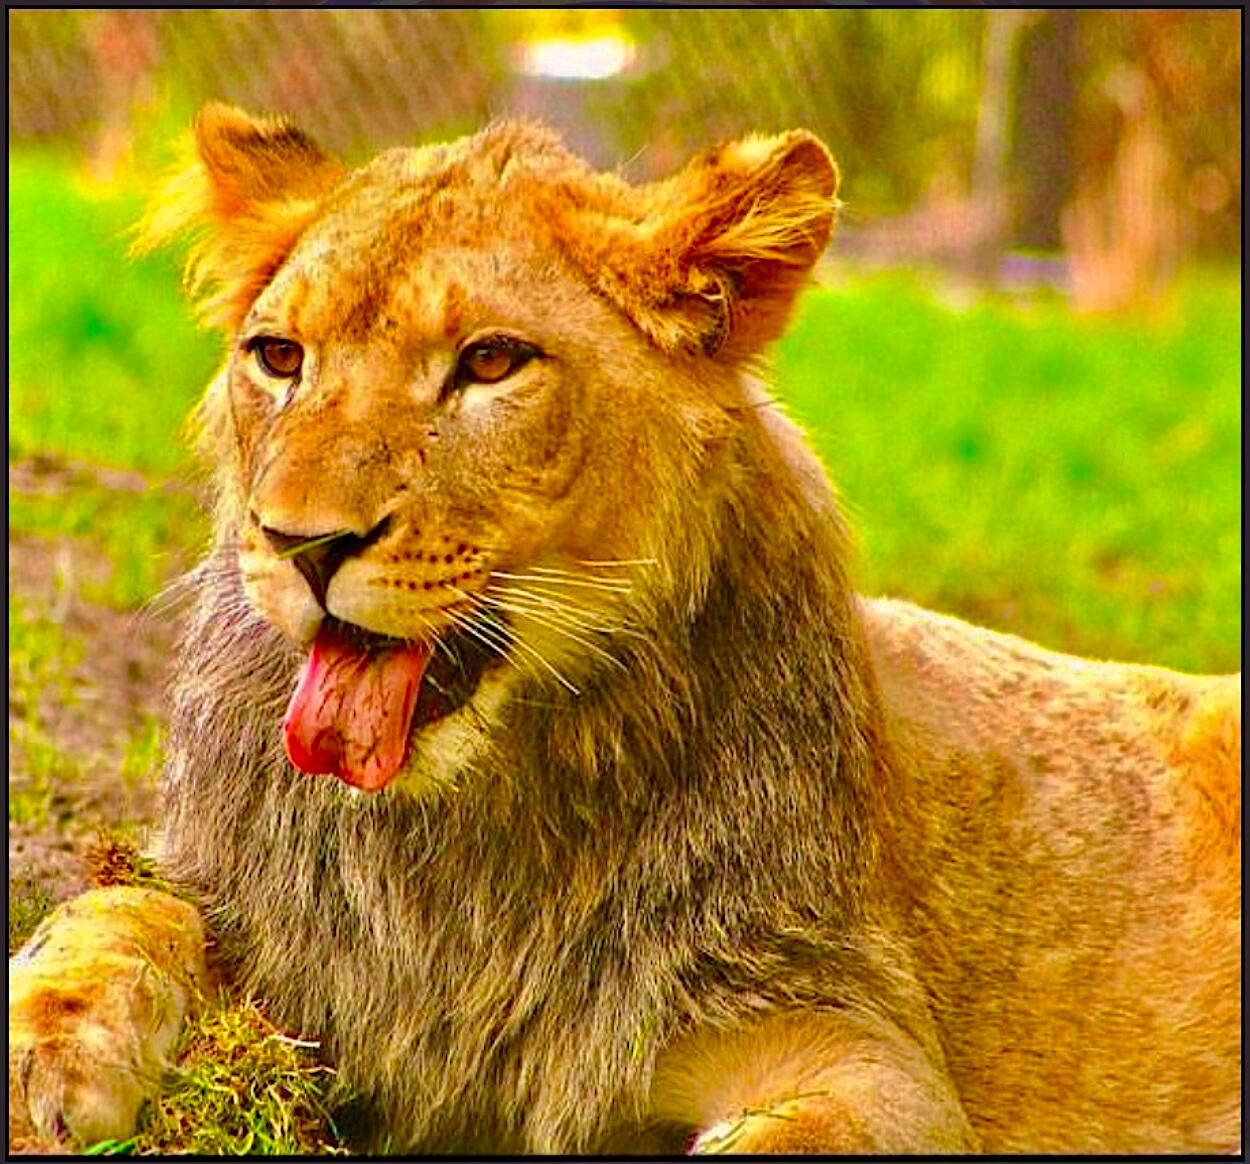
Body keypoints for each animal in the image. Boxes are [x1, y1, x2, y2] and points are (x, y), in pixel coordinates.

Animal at [8, 104, 1240, 1155]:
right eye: (279, 357)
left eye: (489, 362)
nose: (301, 544)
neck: (466, 828)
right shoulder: (270, 932)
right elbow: (115, 905)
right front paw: (41, 1054)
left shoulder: (855, 1032)